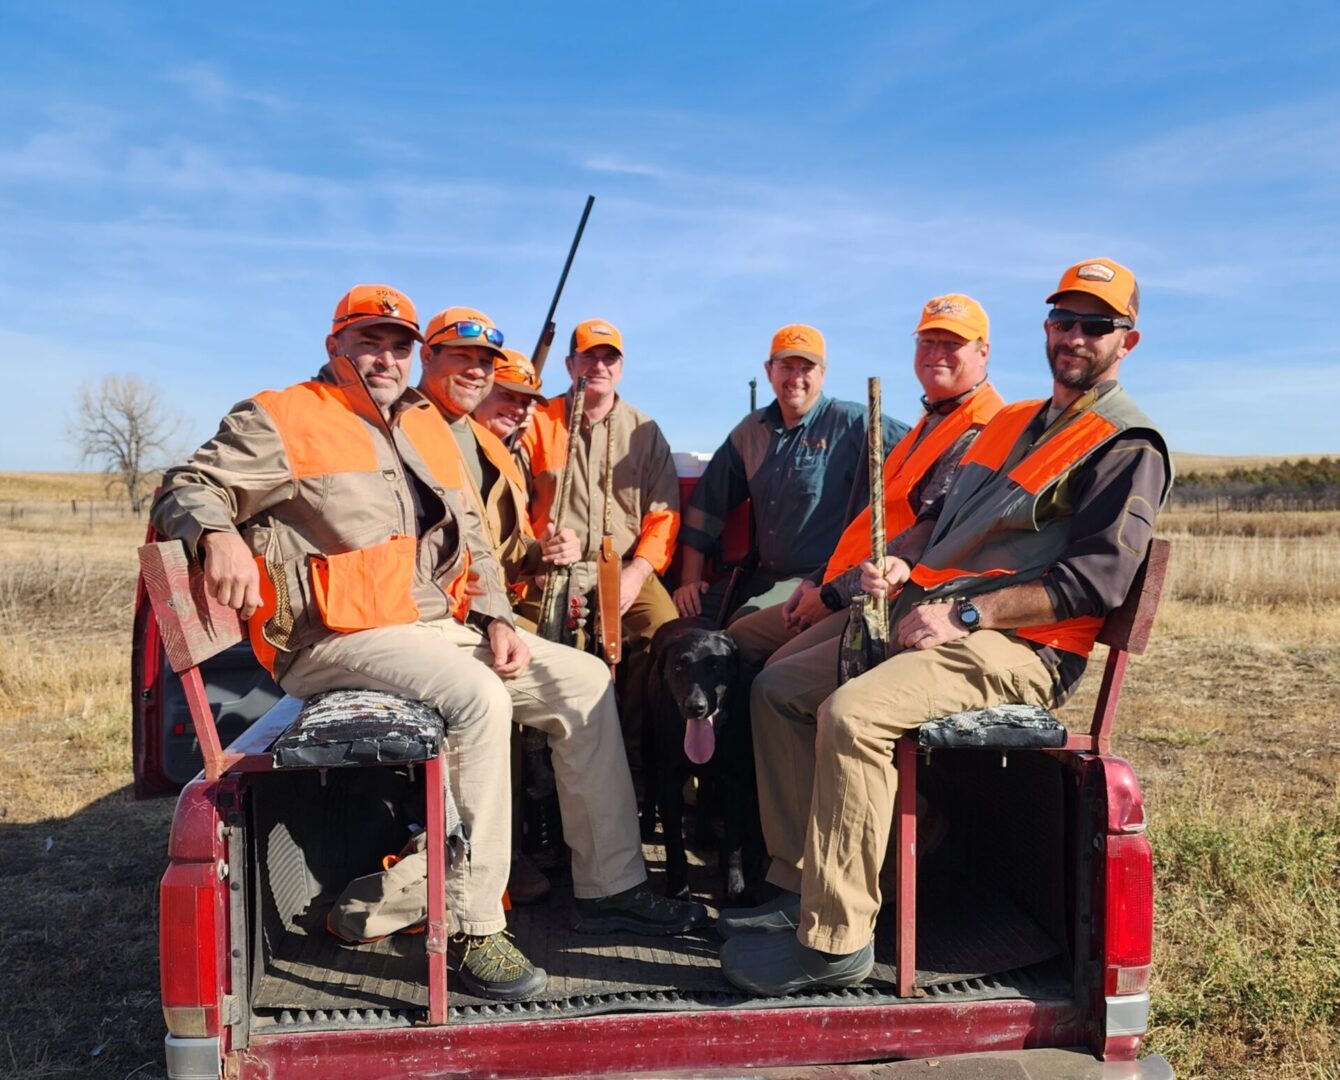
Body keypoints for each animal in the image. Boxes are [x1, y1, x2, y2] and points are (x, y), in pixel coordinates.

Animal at [637, 616, 755, 905]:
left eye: (716, 666)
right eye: (679, 666)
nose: (695, 707)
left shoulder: (737, 781)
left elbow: (734, 843)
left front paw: (736, 890)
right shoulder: (670, 781)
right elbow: (674, 843)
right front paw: (678, 890)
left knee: (706, 788)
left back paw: (704, 833)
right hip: (649, 738)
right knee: (652, 779)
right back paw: (647, 824)